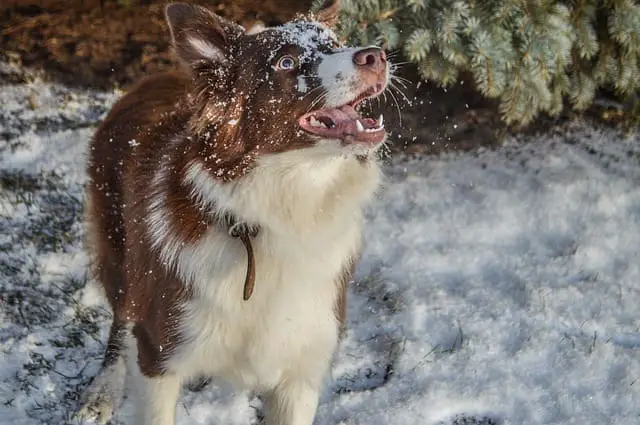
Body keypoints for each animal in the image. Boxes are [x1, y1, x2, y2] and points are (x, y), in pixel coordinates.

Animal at [80, 1, 390, 422]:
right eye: (286, 61)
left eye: (336, 42)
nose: (376, 55)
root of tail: (152, 78)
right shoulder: (158, 354)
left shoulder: (301, 368)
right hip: (120, 255)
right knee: (120, 318)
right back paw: (102, 391)